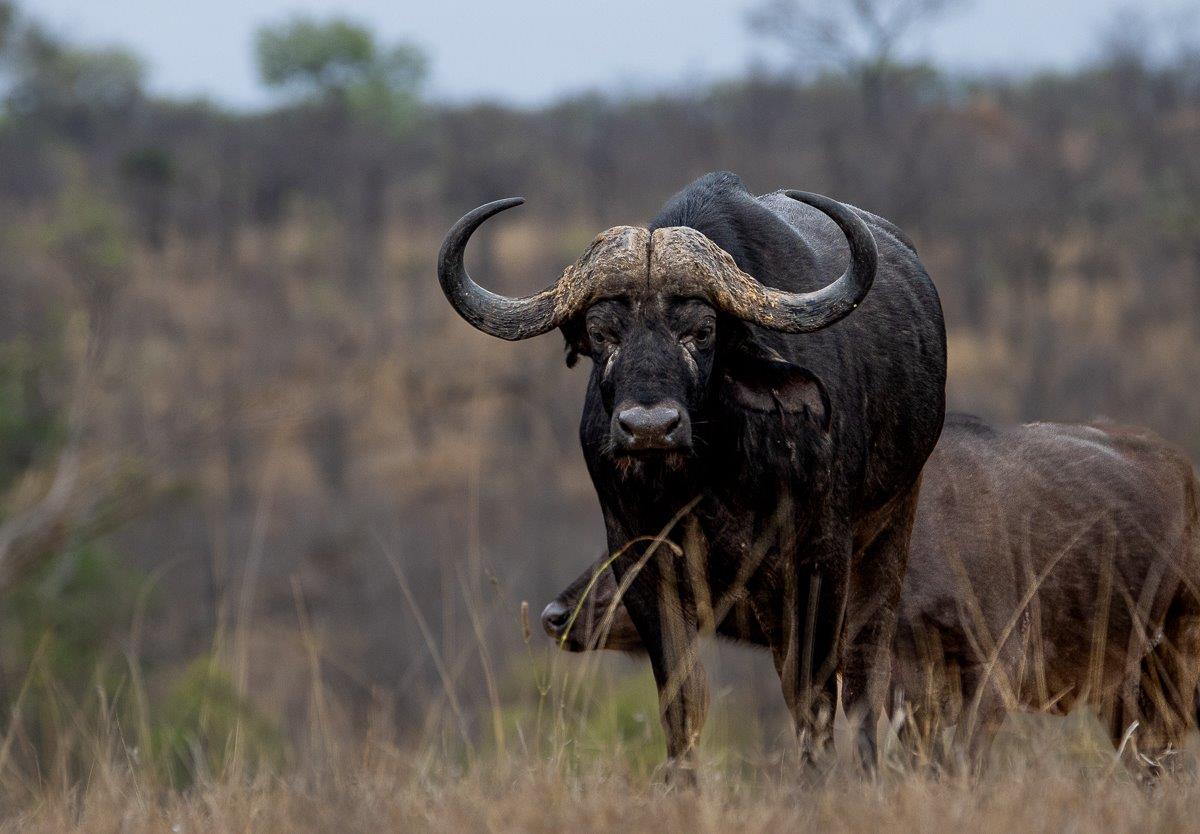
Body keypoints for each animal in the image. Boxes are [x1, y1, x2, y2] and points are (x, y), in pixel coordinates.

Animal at [437, 172, 947, 773]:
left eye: (701, 331)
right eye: (602, 333)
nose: (649, 428)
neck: (710, 476)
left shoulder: (820, 558)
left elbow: (815, 697)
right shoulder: (642, 563)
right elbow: (683, 703)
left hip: (889, 532)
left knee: (865, 676)